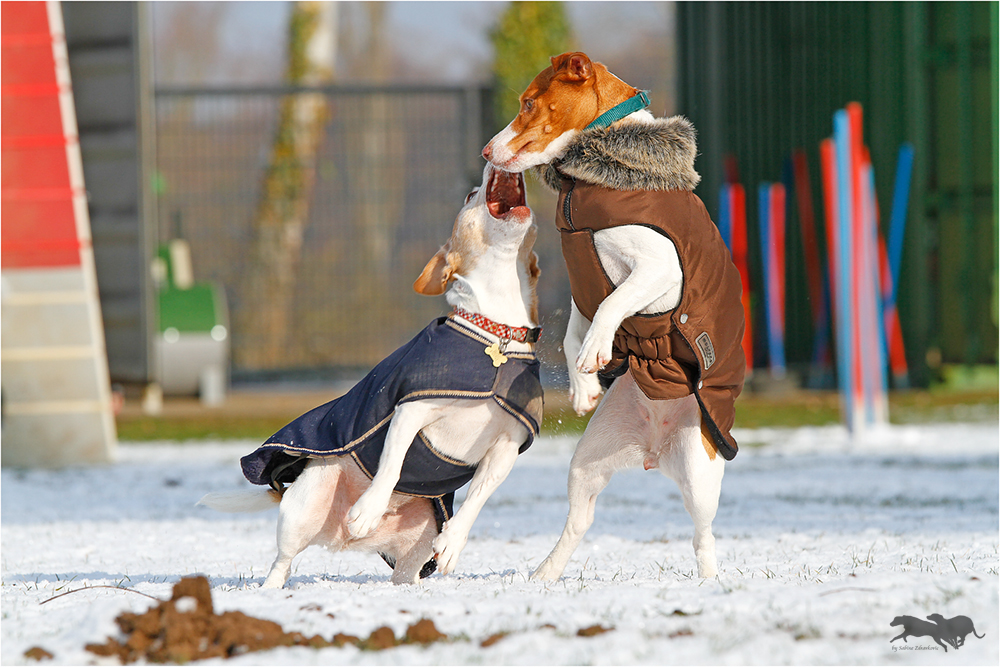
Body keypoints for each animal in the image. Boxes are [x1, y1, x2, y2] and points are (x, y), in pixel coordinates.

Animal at [199, 164, 544, 588]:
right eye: (470, 195)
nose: (491, 166)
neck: (498, 337)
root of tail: (340, 540)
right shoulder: (410, 411)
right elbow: (392, 465)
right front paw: (368, 509)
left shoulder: (507, 446)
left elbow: (479, 496)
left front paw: (453, 543)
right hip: (303, 509)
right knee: (283, 560)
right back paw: (273, 587)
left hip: (419, 538)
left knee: (407, 572)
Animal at [480, 54, 748, 580]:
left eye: (528, 102)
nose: (486, 149)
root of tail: (653, 450)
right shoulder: (583, 290)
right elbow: (572, 335)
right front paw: (584, 384)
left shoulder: (659, 270)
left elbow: (612, 305)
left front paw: (596, 351)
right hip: (587, 462)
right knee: (579, 521)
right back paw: (545, 574)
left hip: (700, 472)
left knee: (702, 535)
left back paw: (710, 581)